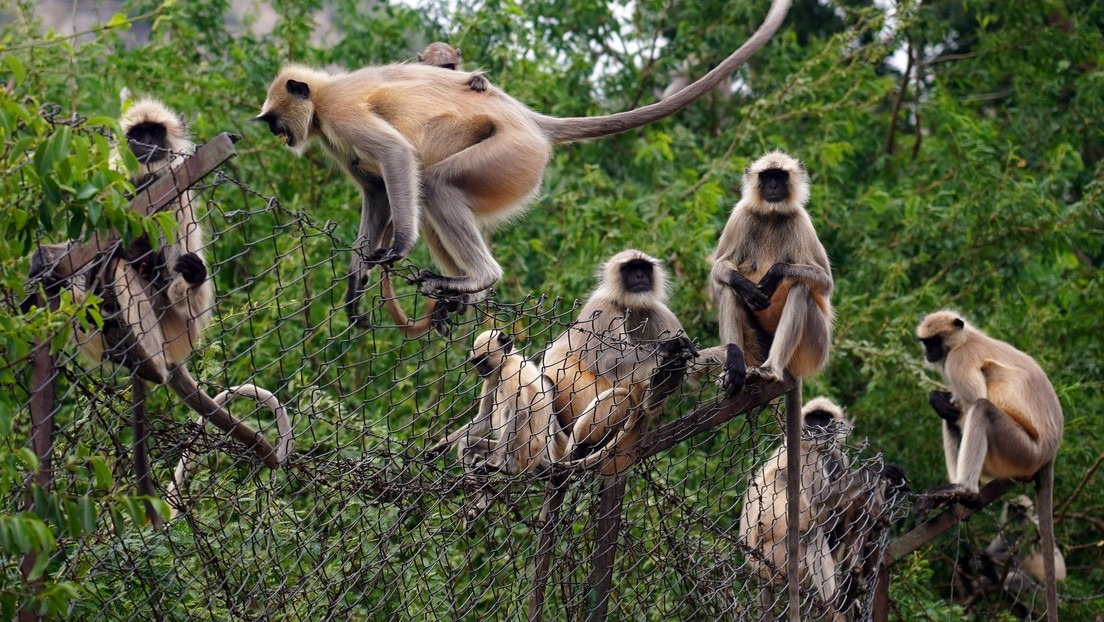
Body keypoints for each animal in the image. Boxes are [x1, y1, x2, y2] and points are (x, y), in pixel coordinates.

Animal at [253, 1, 794, 327]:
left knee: (436, 184)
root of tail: (529, 121)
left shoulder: (341, 113)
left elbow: (394, 157)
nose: (280, 136)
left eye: (276, 121)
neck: (324, 95)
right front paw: (356, 284)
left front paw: (397, 247)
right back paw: (463, 294)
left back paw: (478, 279)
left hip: (513, 156)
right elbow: (377, 190)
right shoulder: (331, 133)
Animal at [540, 249, 697, 477]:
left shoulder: (656, 311)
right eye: (630, 268)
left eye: (644, 267)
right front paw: (667, 347)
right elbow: (607, 361)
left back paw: (665, 382)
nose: (640, 276)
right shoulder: (601, 310)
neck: (627, 305)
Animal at [710, 151, 830, 384]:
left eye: (780, 176)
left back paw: (771, 368)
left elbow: (825, 282)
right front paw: (744, 284)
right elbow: (719, 269)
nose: (773, 186)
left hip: (814, 349)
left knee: (800, 289)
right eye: (766, 176)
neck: (772, 214)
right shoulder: (740, 215)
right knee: (730, 289)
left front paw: (775, 274)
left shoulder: (801, 221)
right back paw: (735, 368)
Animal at [914, 311, 1059, 622]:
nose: (928, 353)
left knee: (979, 408)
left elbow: (973, 401)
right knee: (952, 416)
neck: (967, 339)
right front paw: (936, 398)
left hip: (1020, 451)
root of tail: (1049, 453)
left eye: (934, 342)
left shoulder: (959, 360)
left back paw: (964, 489)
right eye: (926, 342)